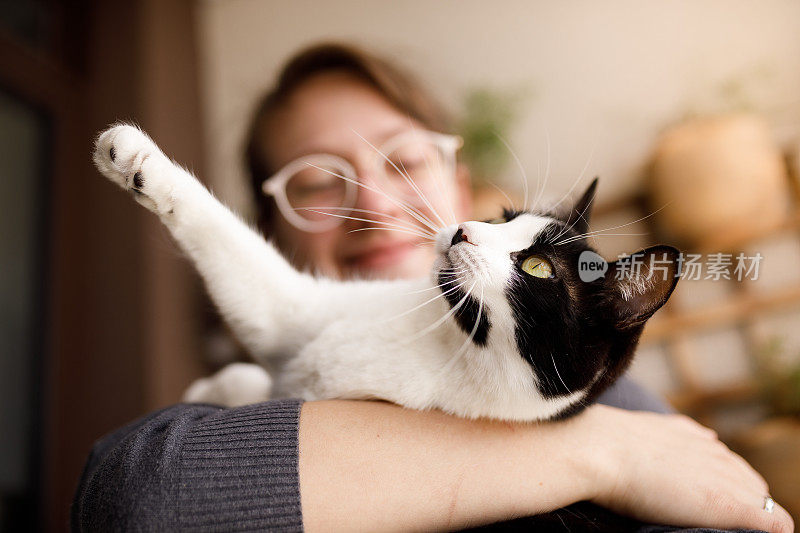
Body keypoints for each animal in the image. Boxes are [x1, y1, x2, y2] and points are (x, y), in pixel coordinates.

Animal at [95, 123, 680, 420]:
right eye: (502, 217)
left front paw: (134, 156)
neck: (443, 337)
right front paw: (214, 385)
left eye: (537, 266)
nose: (463, 229)